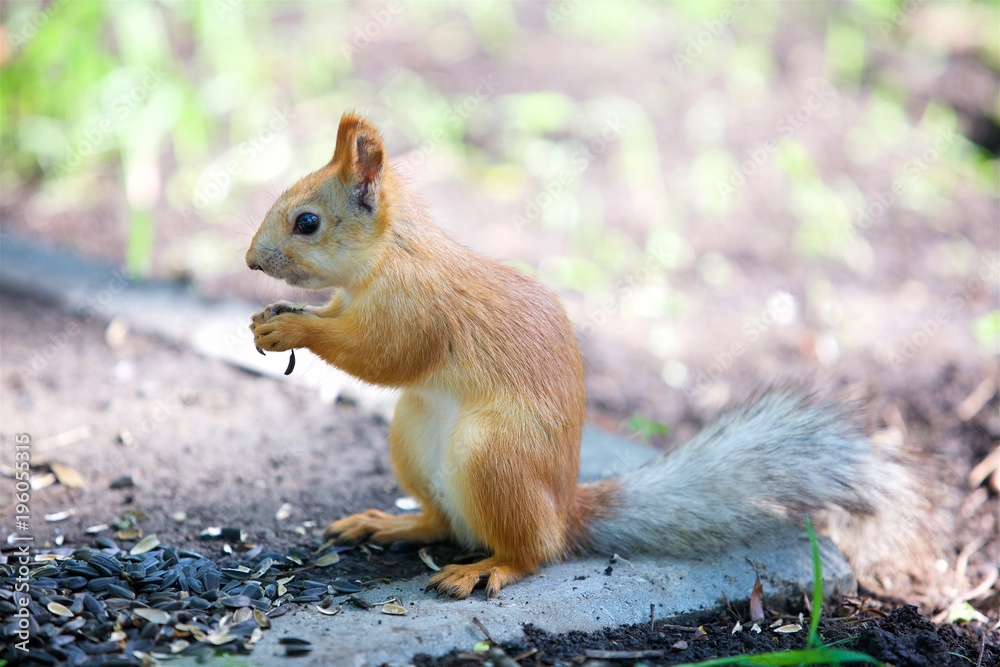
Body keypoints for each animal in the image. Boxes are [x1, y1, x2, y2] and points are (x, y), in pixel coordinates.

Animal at [246, 113, 929, 599]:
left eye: (307, 222)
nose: (250, 262)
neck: (392, 254)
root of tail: (565, 510)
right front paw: (269, 321)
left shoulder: (417, 309)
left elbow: (381, 356)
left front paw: (293, 331)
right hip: (411, 432)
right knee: (444, 523)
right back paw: (391, 525)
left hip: (491, 454)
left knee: (532, 552)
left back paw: (486, 568)